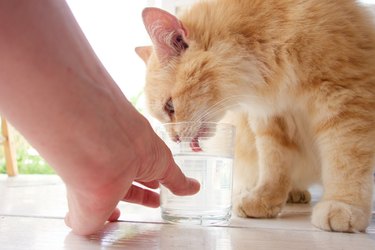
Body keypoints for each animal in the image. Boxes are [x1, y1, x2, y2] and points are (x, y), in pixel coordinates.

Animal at [137, 0, 375, 232]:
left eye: (170, 107)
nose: (174, 138)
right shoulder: (272, 120)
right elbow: (274, 164)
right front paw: (265, 198)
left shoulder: (344, 98)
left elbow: (345, 161)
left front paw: (343, 203)